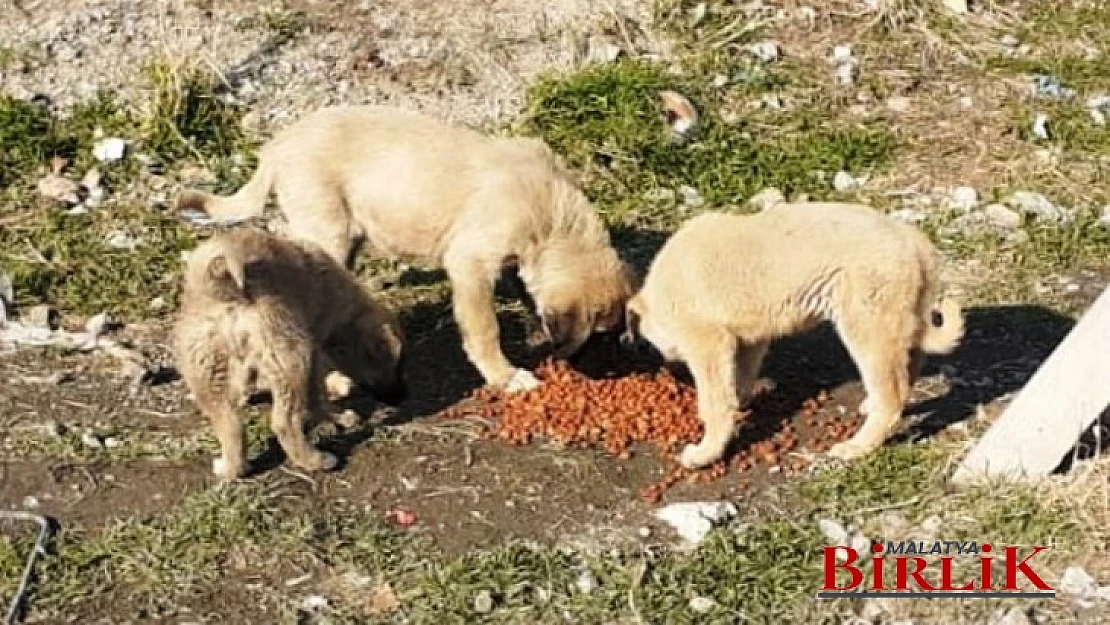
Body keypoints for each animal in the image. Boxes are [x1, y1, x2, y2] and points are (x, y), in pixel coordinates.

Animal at [176, 227, 408, 481]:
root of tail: (223, 287)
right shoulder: (314, 351)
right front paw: (339, 417)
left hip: (207, 374)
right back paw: (315, 460)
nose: (402, 398)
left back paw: (232, 468)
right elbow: (319, 398)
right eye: (395, 366)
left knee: (231, 425)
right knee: (283, 422)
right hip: (291, 359)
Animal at [177, 104, 639, 392]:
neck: (551, 213)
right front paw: (505, 376)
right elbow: (484, 328)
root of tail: (279, 144)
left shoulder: (513, 261)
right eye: (599, 335)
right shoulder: (470, 262)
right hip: (329, 231)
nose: (611, 374)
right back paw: (333, 378)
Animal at [621, 203, 967, 466]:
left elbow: (716, 401)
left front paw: (705, 452)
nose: (667, 364)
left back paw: (857, 446)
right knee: (909, 366)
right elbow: (741, 377)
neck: (663, 290)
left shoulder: (708, 343)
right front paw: (741, 401)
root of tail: (916, 243)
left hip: (866, 323)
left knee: (892, 394)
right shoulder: (750, 337)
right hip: (898, 320)